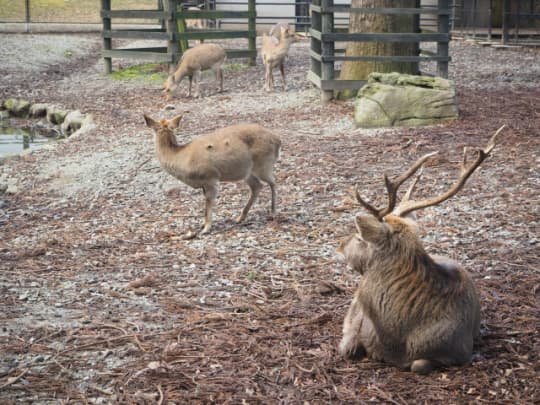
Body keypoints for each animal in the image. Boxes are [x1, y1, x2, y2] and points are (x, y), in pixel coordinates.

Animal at [142, 113, 282, 238]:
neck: (179, 157)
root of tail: (278, 140)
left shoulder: (210, 178)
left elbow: (209, 203)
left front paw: (206, 228)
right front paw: (203, 225)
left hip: (263, 163)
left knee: (273, 182)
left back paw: (273, 213)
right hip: (247, 172)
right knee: (257, 186)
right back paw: (240, 218)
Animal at [336, 125, 504, 372]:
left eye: (359, 237)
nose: (340, 244)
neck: (398, 340)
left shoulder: (461, 351)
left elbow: (418, 365)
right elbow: (348, 346)